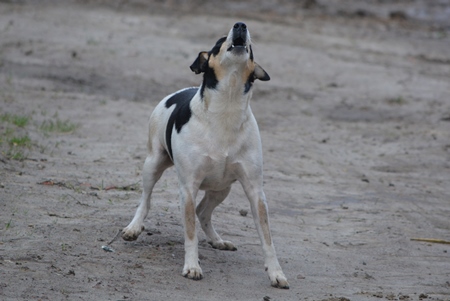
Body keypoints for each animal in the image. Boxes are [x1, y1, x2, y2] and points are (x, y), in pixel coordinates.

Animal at [120, 21, 288, 288]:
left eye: (251, 48)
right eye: (219, 41)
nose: (240, 25)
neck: (227, 107)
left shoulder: (255, 191)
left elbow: (267, 238)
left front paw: (276, 273)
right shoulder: (188, 187)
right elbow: (190, 233)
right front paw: (192, 266)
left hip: (222, 188)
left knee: (203, 212)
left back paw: (217, 240)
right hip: (152, 164)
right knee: (146, 200)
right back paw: (134, 227)